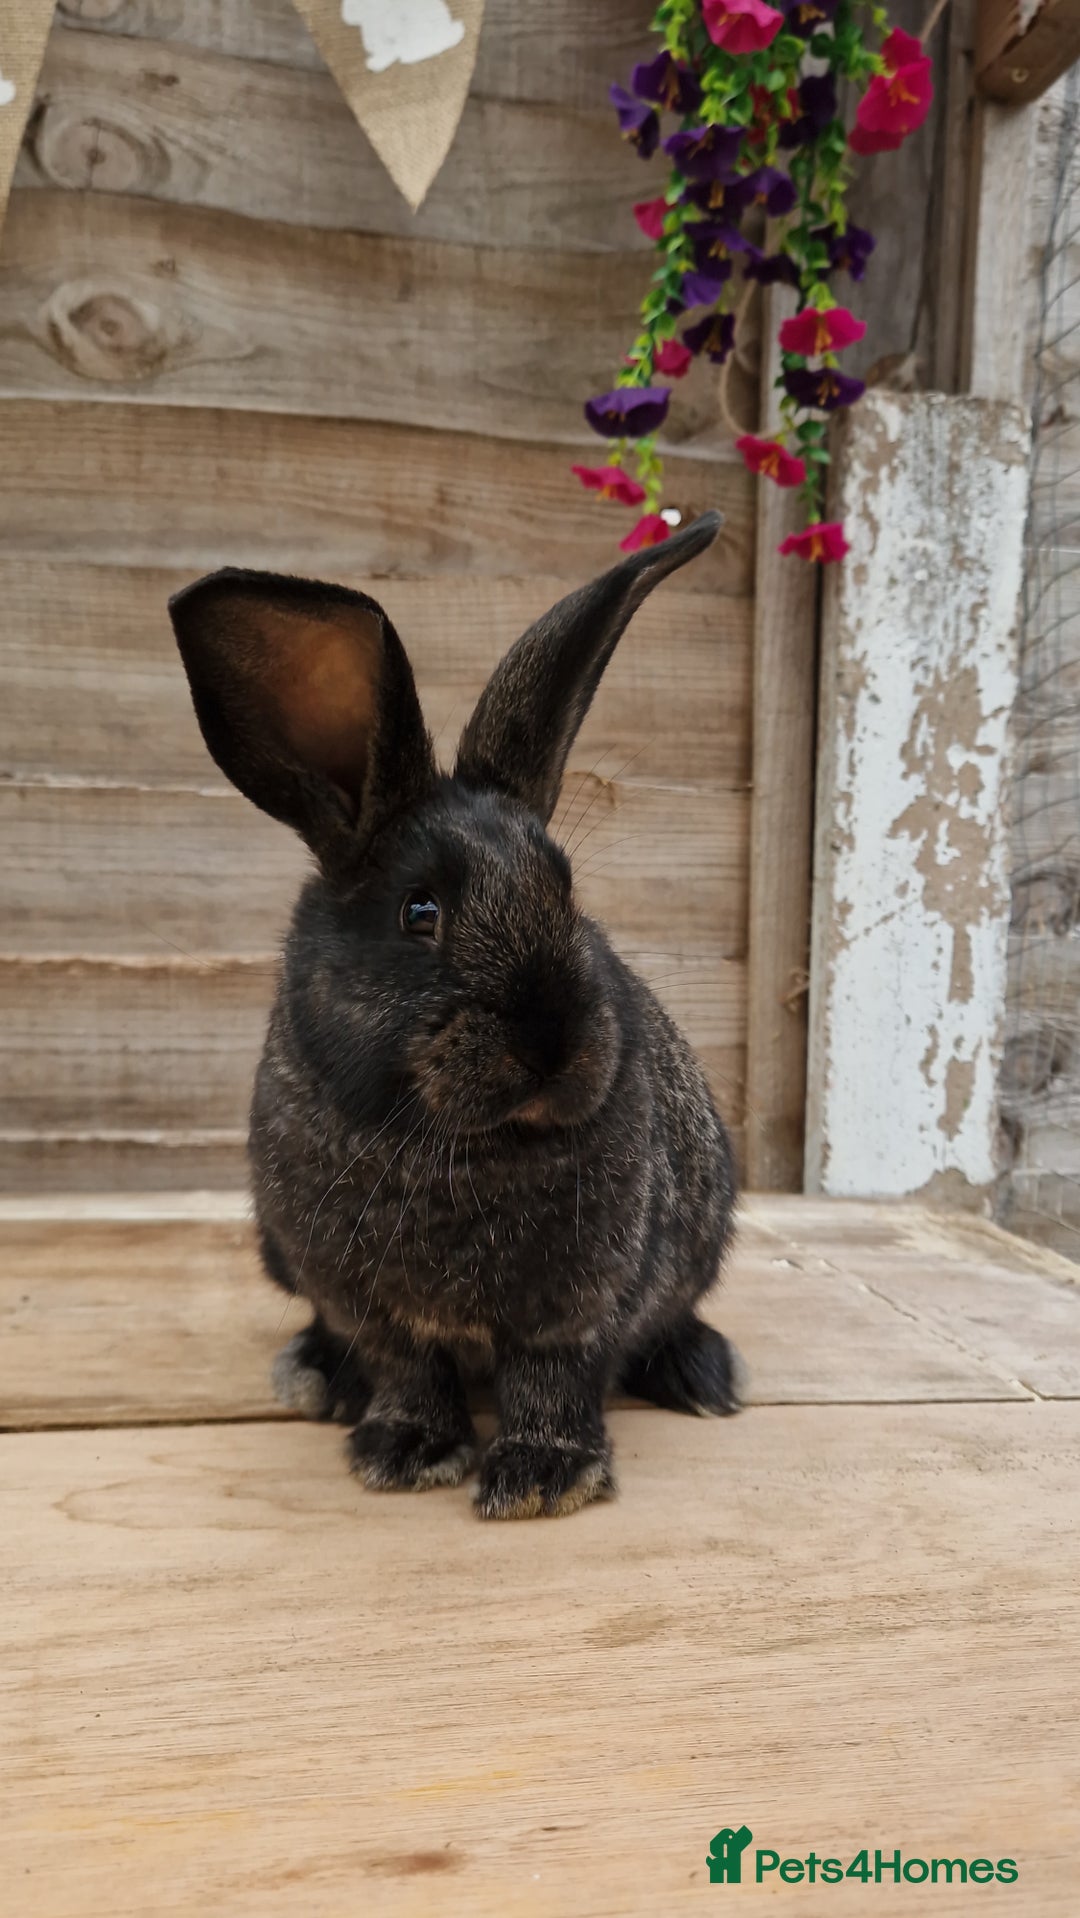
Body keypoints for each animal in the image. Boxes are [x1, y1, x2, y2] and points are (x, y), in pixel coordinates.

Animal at [169, 511, 742, 1520]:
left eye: (565, 888)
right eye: (418, 911)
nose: (552, 1040)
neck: (457, 1151)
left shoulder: (577, 1304)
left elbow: (552, 1378)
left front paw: (544, 1478)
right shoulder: (368, 1308)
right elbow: (407, 1370)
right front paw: (404, 1452)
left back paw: (701, 1375)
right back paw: (315, 1376)